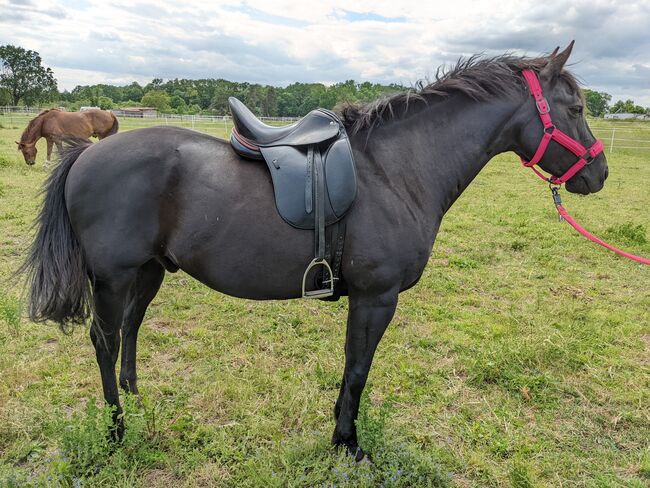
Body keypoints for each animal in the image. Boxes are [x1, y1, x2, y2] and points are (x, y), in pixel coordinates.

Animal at [21, 43, 608, 460]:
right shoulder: (375, 297)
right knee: (104, 340)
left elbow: (352, 368)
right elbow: (358, 368)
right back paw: (117, 431)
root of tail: (86, 153)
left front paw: (339, 432)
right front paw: (348, 443)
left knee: (130, 331)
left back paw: (137, 402)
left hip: (148, 272)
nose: (599, 174)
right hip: (114, 277)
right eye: (576, 106)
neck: (395, 170)